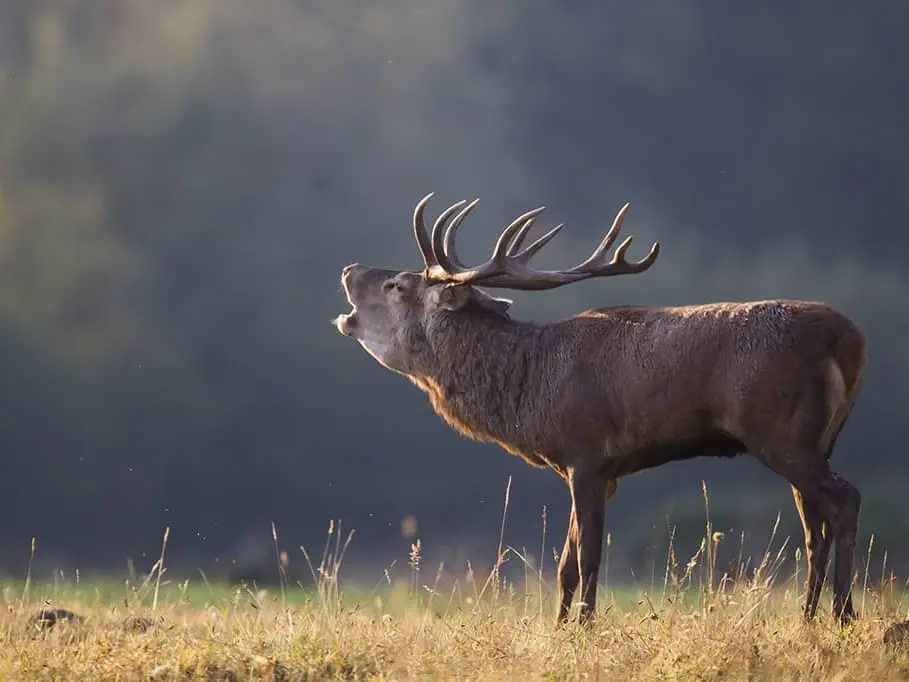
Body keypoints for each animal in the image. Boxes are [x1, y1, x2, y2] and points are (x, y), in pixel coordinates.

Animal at [332, 193, 866, 627]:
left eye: (398, 286)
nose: (349, 269)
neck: (529, 390)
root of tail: (851, 339)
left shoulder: (586, 455)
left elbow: (588, 557)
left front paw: (586, 629)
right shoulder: (596, 470)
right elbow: (565, 565)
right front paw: (559, 629)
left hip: (783, 433)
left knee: (845, 500)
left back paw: (842, 614)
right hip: (816, 440)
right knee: (813, 526)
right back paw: (807, 618)